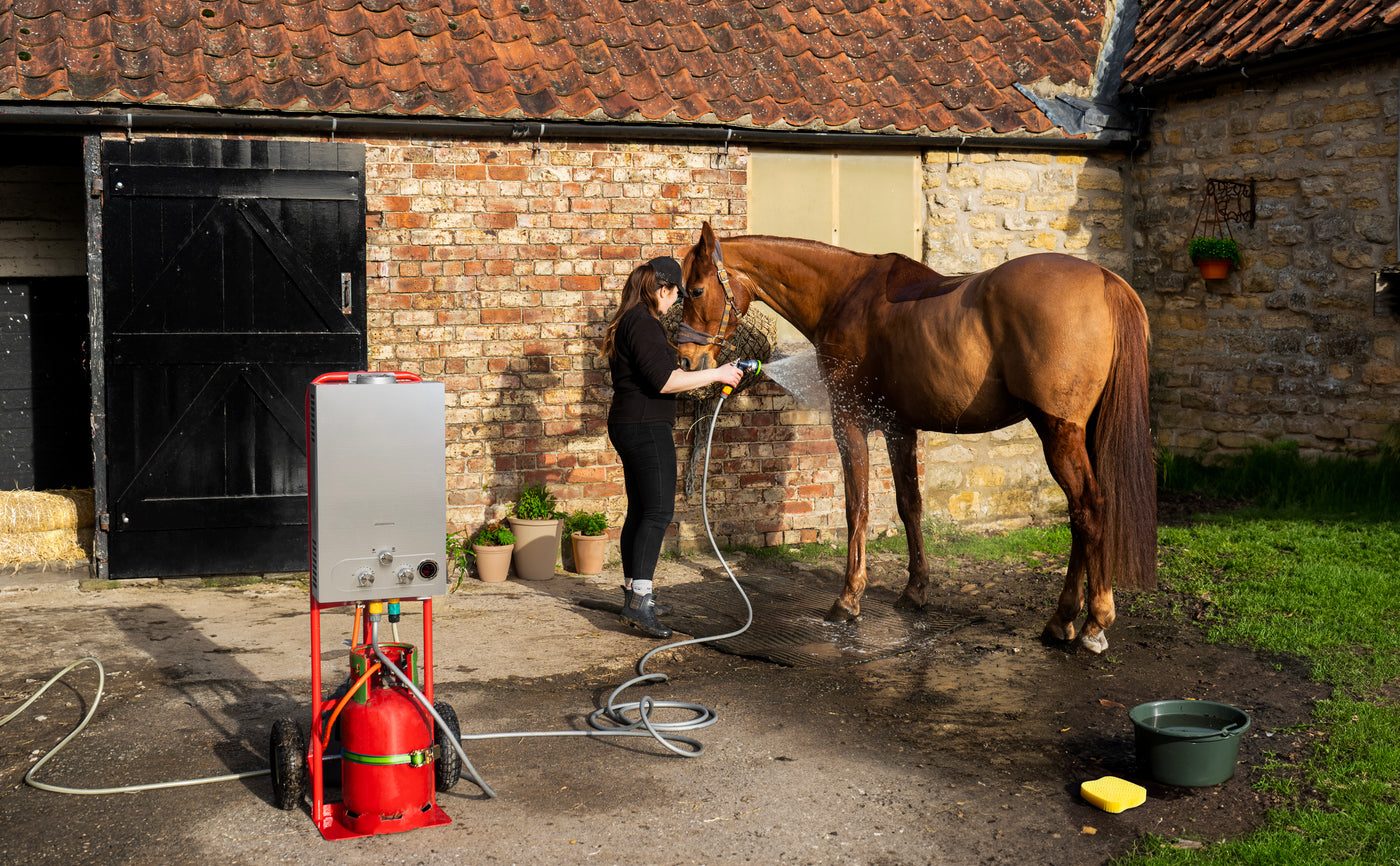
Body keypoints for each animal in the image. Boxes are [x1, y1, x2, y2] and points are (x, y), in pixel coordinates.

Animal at [676, 222, 1155, 654]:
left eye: (695, 291)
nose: (686, 360)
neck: (844, 294)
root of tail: (1105, 280)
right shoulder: (899, 429)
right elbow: (910, 505)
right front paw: (915, 591)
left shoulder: (849, 423)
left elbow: (858, 508)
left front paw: (848, 600)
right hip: (1082, 434)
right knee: (1082, 514)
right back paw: (1068, 619)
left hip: (1058, 433)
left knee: (1088, 510)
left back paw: (1089, 621)